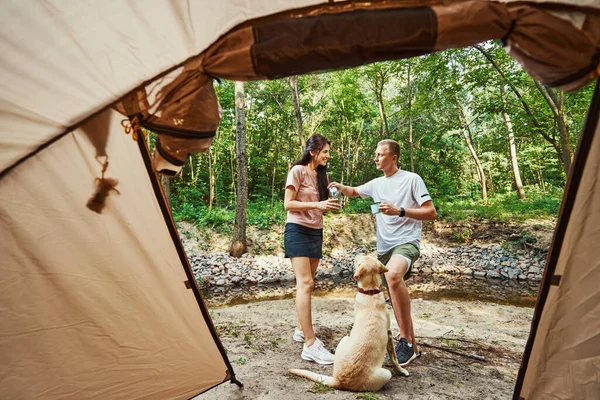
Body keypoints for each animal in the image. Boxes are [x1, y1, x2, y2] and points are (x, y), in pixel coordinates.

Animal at [288, 256, 410, 390]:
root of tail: (338, 380)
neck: (370, 291)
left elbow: (394, 358)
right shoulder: (389, 333)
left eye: (360, 259)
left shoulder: (389, 333)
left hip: (347, 340)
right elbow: (394, 358)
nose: (357, 255)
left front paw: (401, 371)